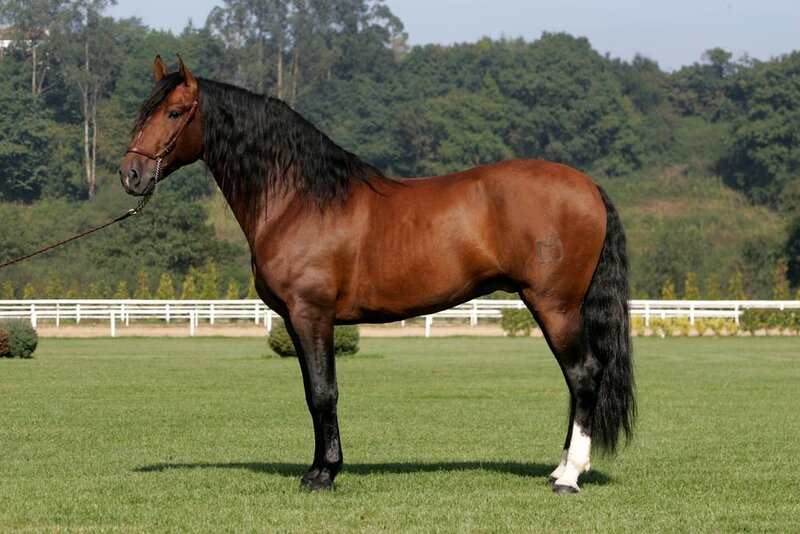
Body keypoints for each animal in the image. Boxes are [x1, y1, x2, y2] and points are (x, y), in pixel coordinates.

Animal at [119, 56, 635, 494]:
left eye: (175, 112)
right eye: (144, 111)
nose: (131, 174)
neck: (300, 199)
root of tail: (588, 186)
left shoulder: (312, 314)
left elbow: (323, 393)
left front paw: (324, 475)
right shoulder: (293, 319)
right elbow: (311, 393)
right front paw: (318, 468)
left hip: (554, 304)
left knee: (583, 375)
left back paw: (568, 476)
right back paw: (560, 467)